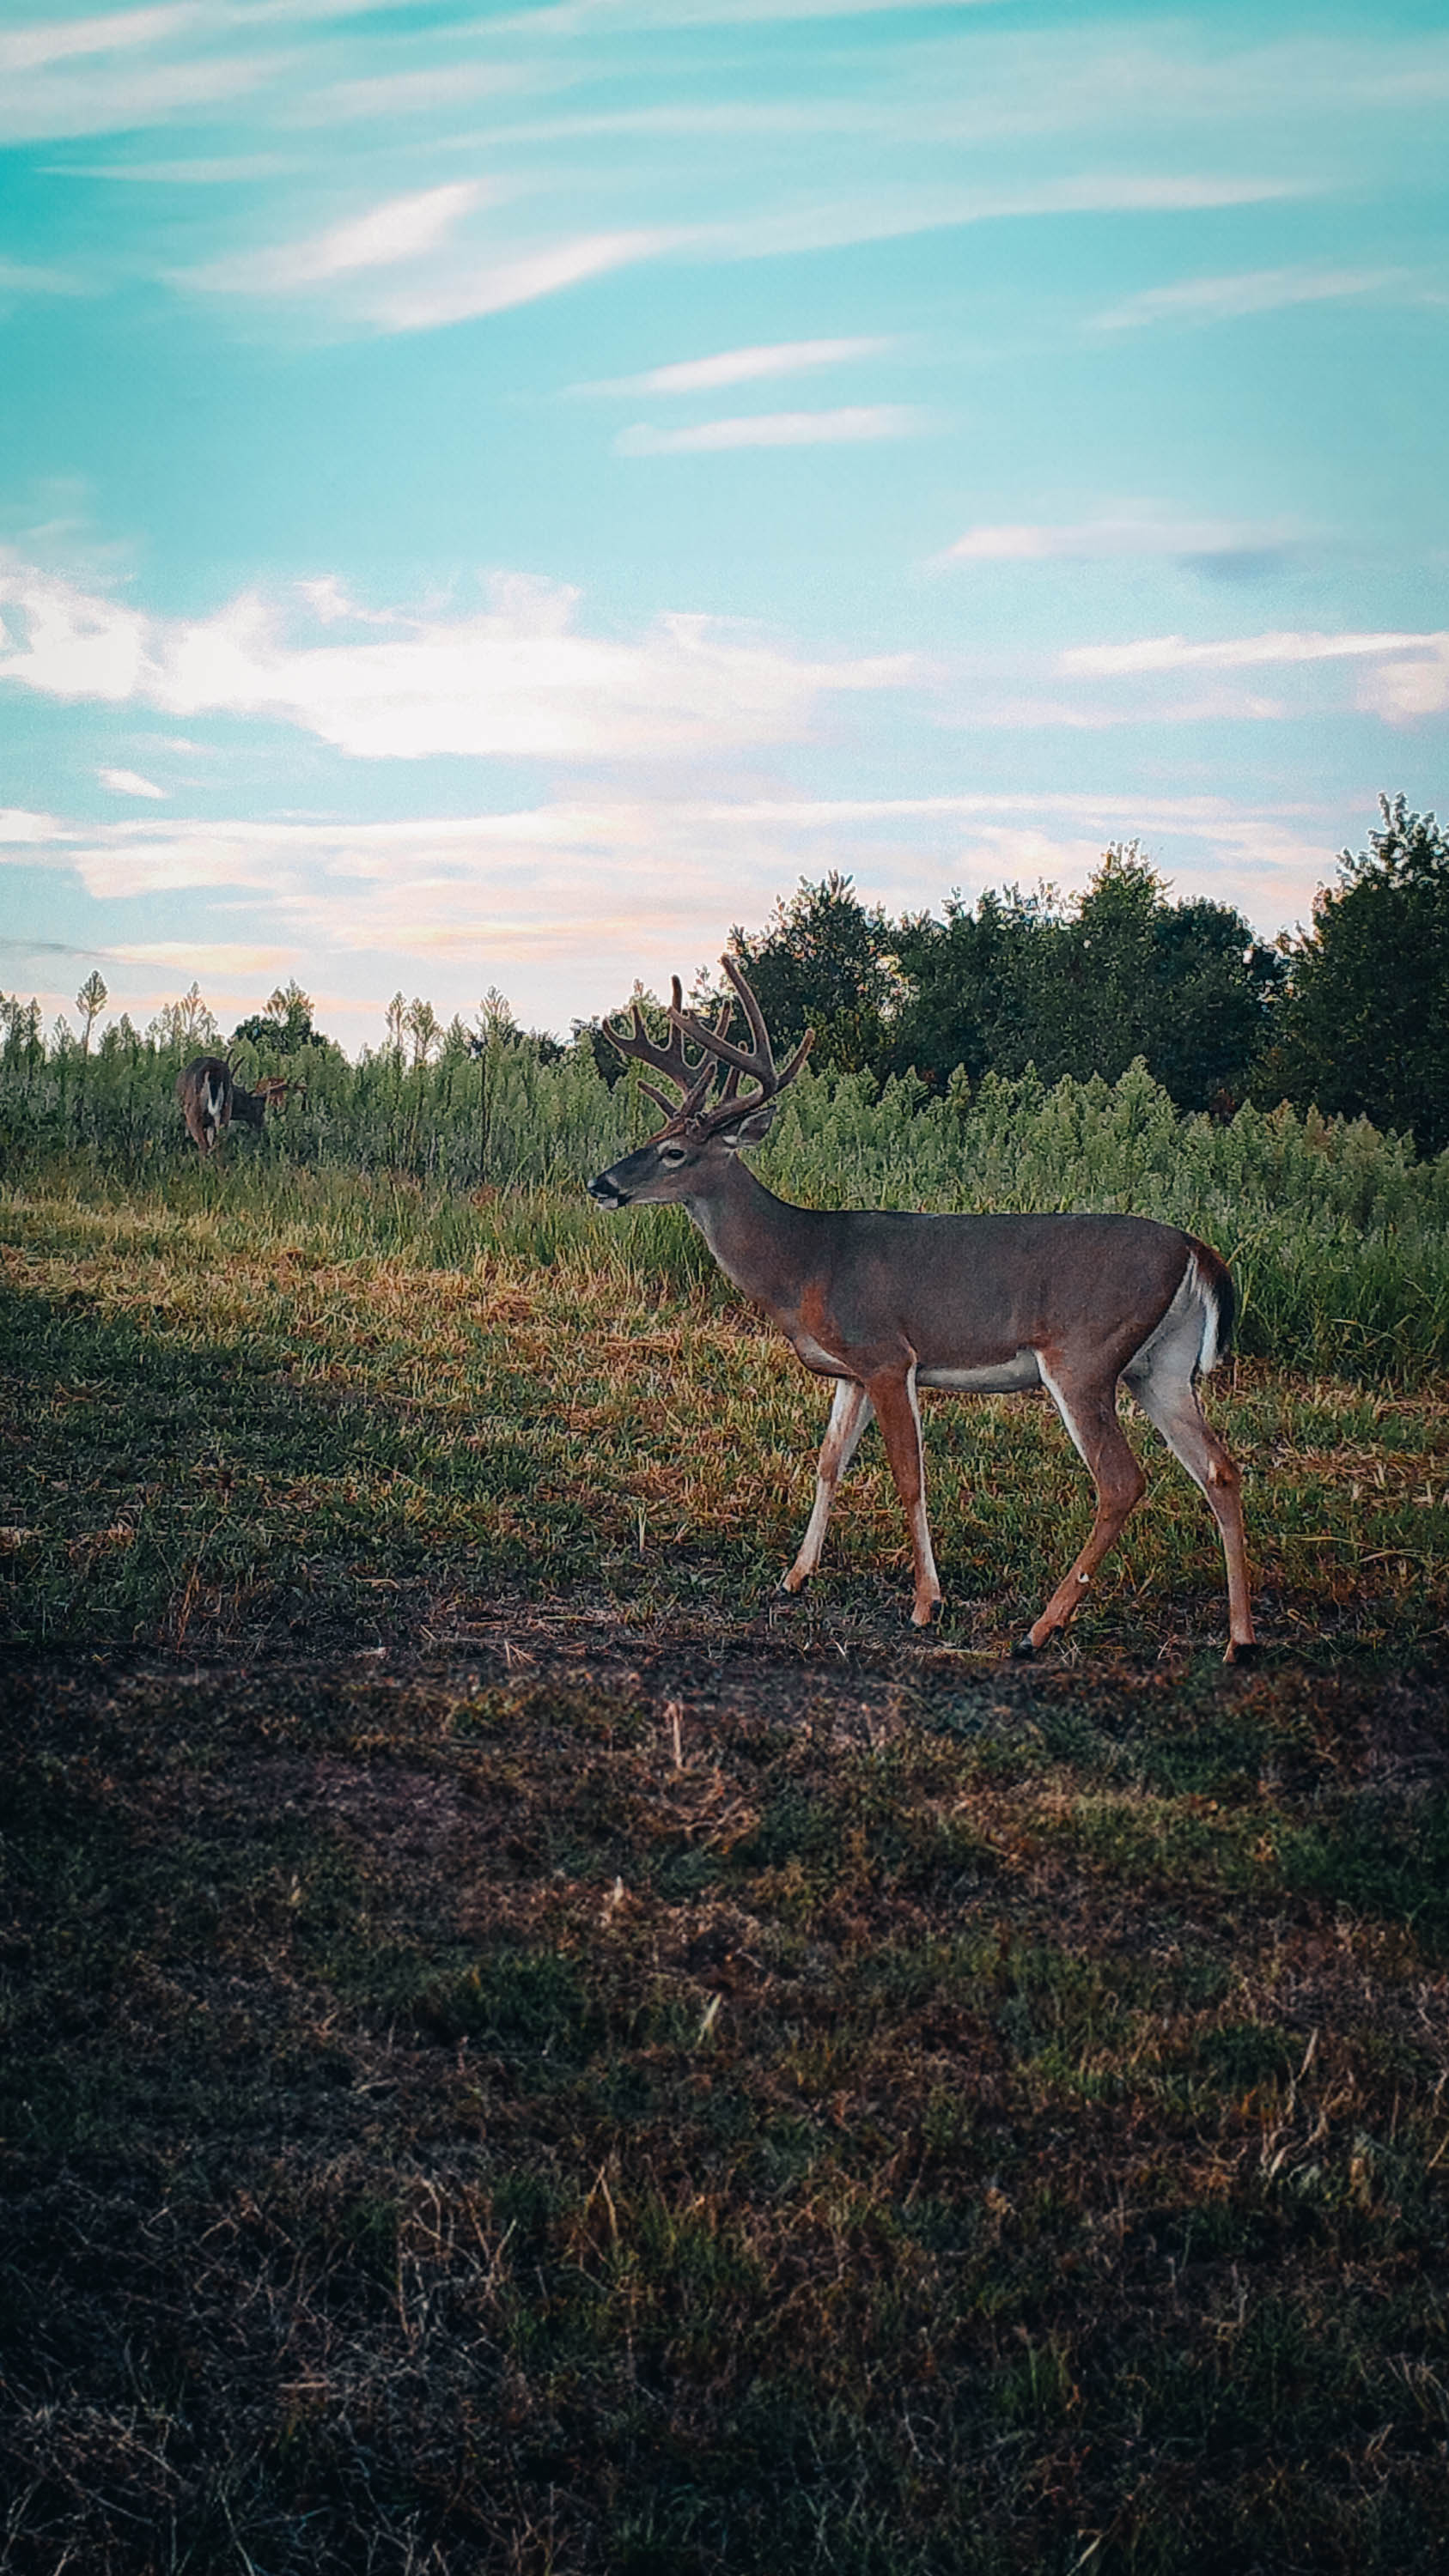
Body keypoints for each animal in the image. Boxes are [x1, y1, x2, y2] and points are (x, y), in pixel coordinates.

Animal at [175, 1056, 299, 1159]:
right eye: (261, 1109)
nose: (262, 1127)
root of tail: (213, 1070)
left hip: (193, 1111)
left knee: (204, 1146)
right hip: (225, 1109)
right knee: (218, 1143)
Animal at [588, 958, 1252, 1659]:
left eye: (674, 1154)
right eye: (654, 1136)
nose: (600, 1184)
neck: (802, 1262)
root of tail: (1196, 1249)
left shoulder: (886, 1353)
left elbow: (909, 1474)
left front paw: (926, 1604)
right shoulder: (849, 1371)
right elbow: (827, 1463)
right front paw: (795, 1577)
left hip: (1084, 1356)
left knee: (1121, 1481)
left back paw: (1040, 1629)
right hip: (1161, 1367)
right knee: (1219, 1469)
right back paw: (1238, 1639)